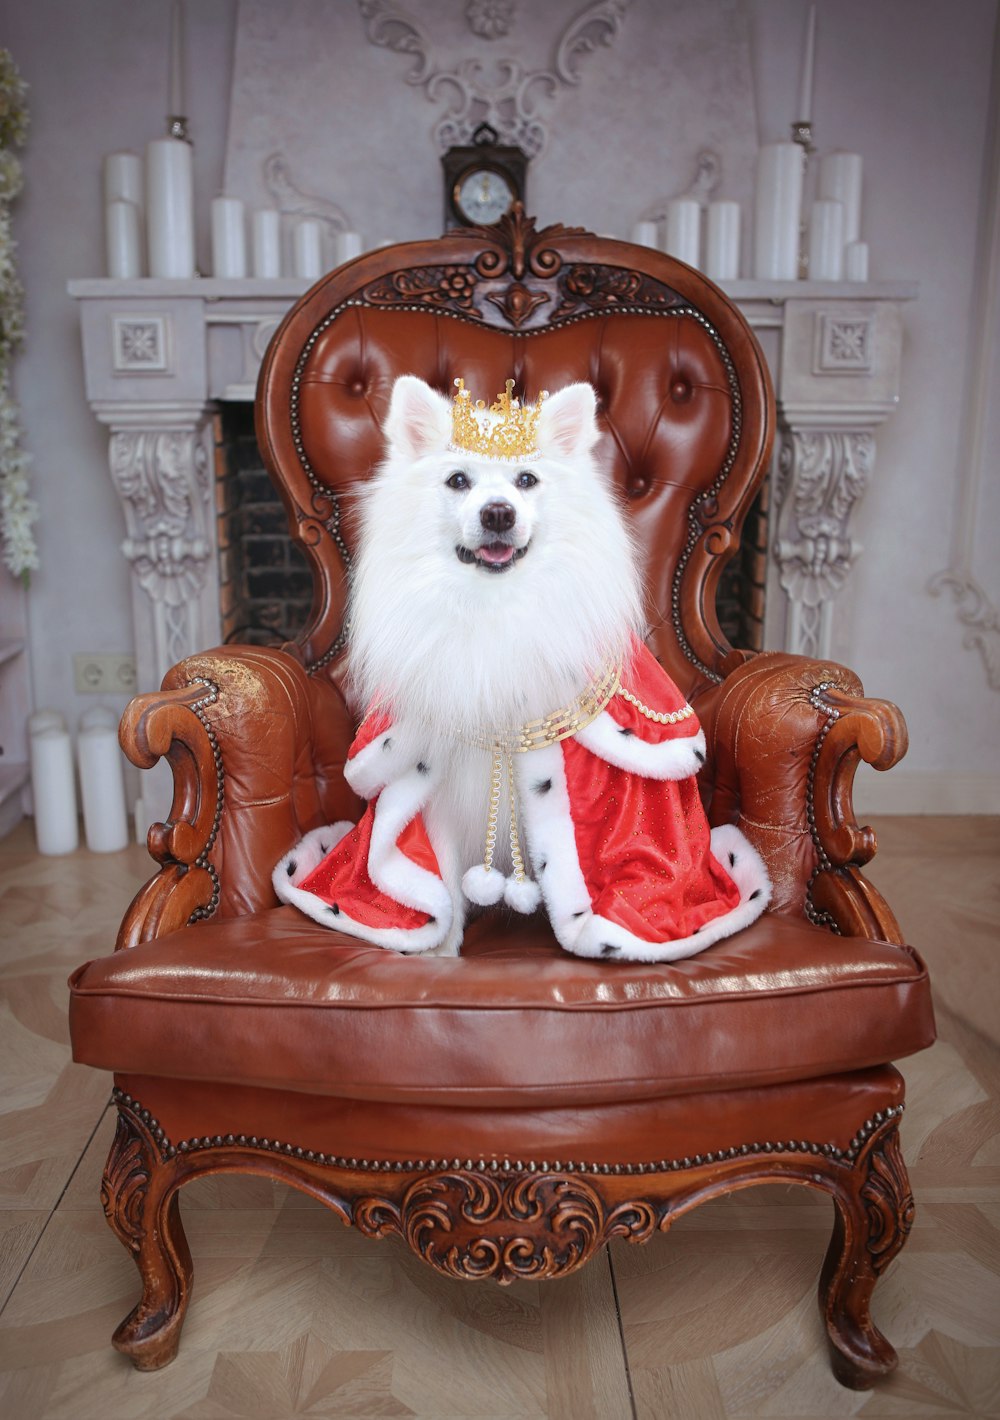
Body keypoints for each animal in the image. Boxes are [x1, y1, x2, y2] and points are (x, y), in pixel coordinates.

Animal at [275, 374, 772, 965]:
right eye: (458, 481)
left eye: (527, 481)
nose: (498, 513)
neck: (495, 608)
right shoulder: (437, 792)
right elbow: (444, 886)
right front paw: (440, 956)